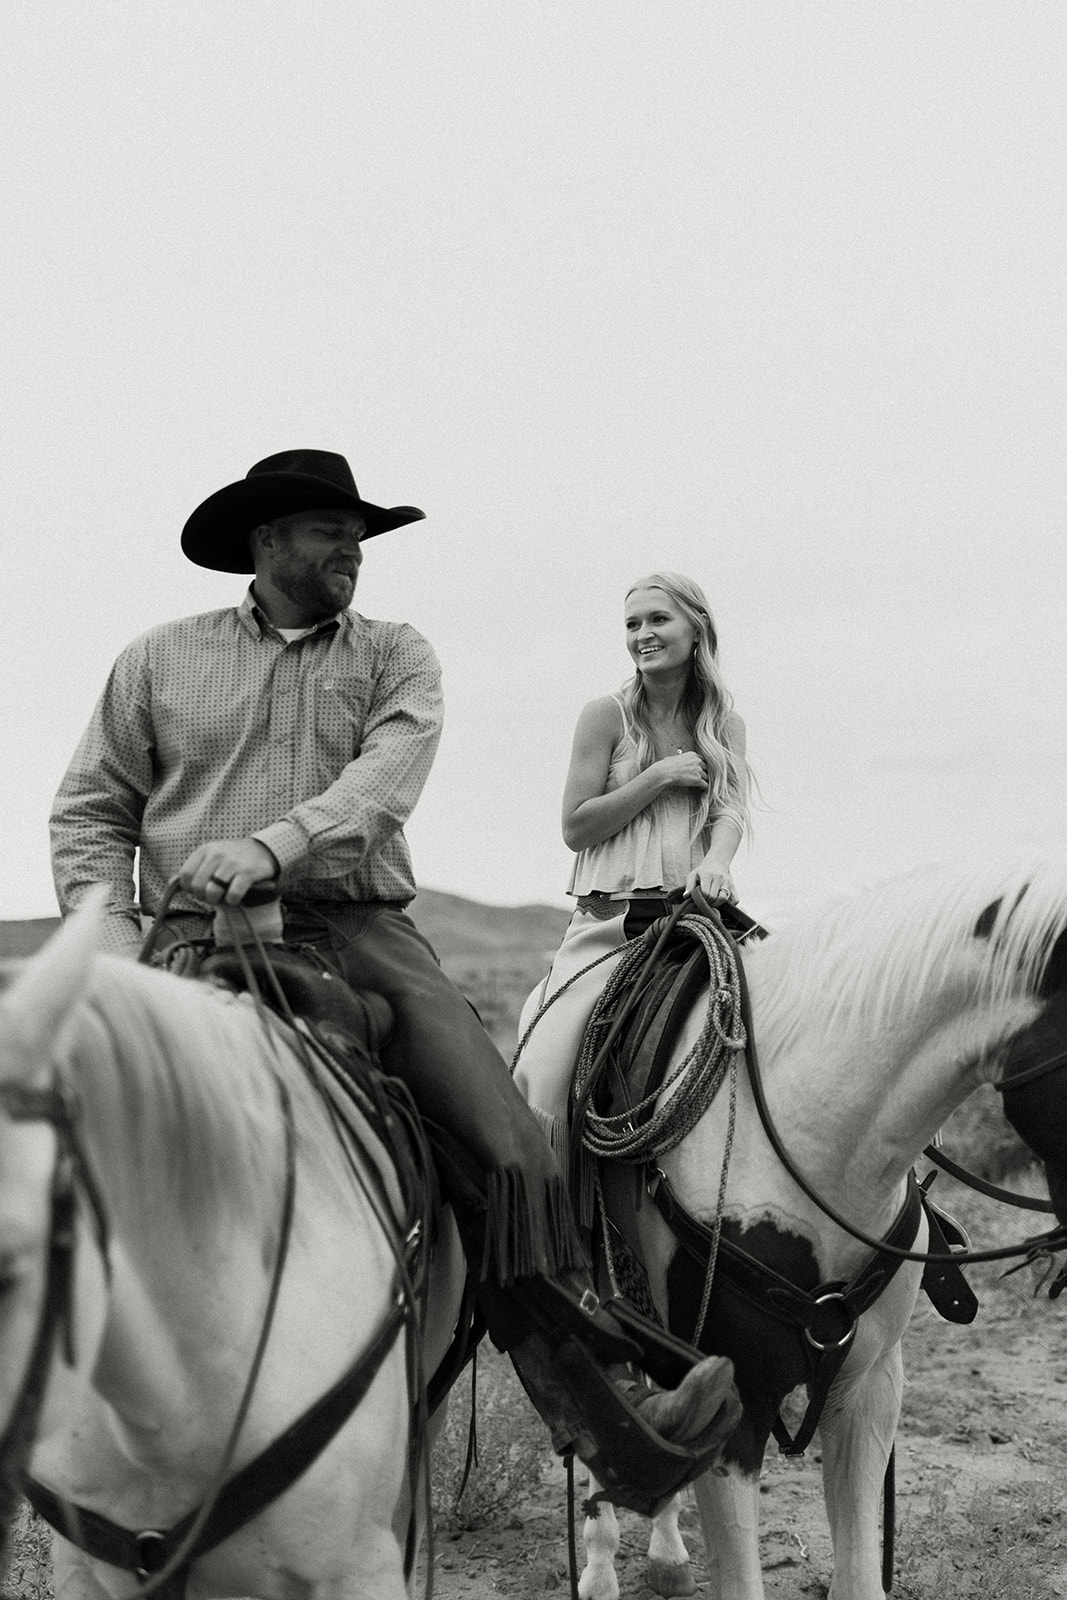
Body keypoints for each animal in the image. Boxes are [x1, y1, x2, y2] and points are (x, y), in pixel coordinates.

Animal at [521, 864, 1067, 1600]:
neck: (815, 1142)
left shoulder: (868, 1390)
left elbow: (860, 1573)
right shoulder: (741, 1401)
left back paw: (665, 1554)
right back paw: (602, 1568)